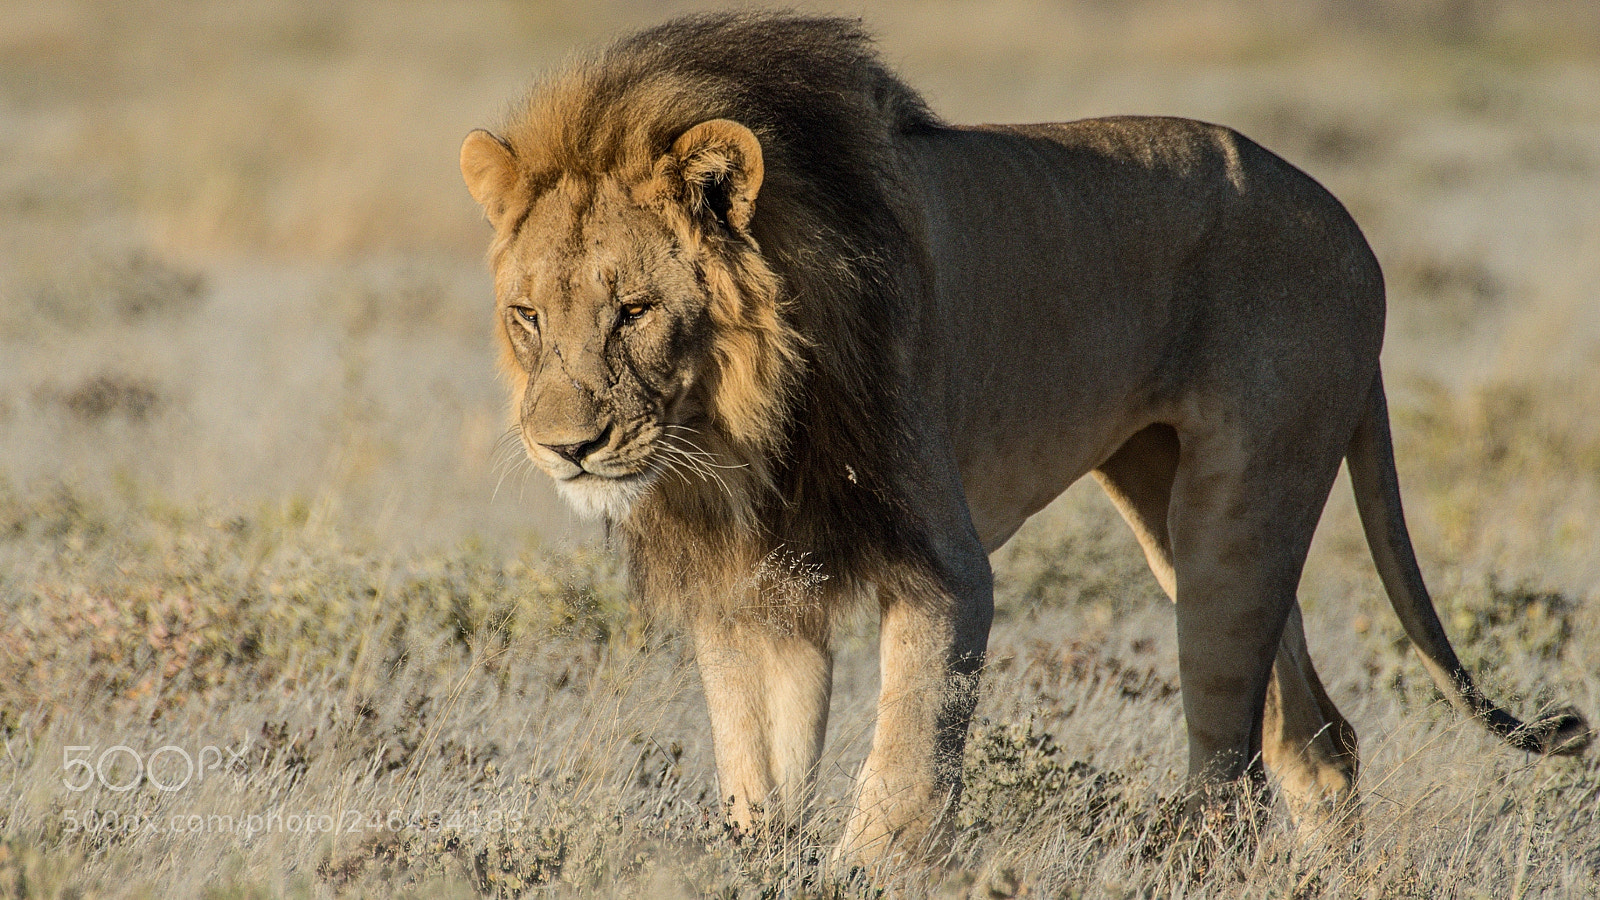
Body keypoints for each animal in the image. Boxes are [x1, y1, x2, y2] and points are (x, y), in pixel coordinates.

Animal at [460, 12, 1590, 859]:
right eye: (528, 318)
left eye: (634, 311)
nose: (564, 448)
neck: (737, 430)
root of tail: (1350, 227)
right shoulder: (754, 589)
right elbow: (759, 778)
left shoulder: (945, 568)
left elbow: (904, 773)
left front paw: (865, 869)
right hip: (1164, 496)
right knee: (1313, 736)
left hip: (1238, 510)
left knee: (1231, 764)